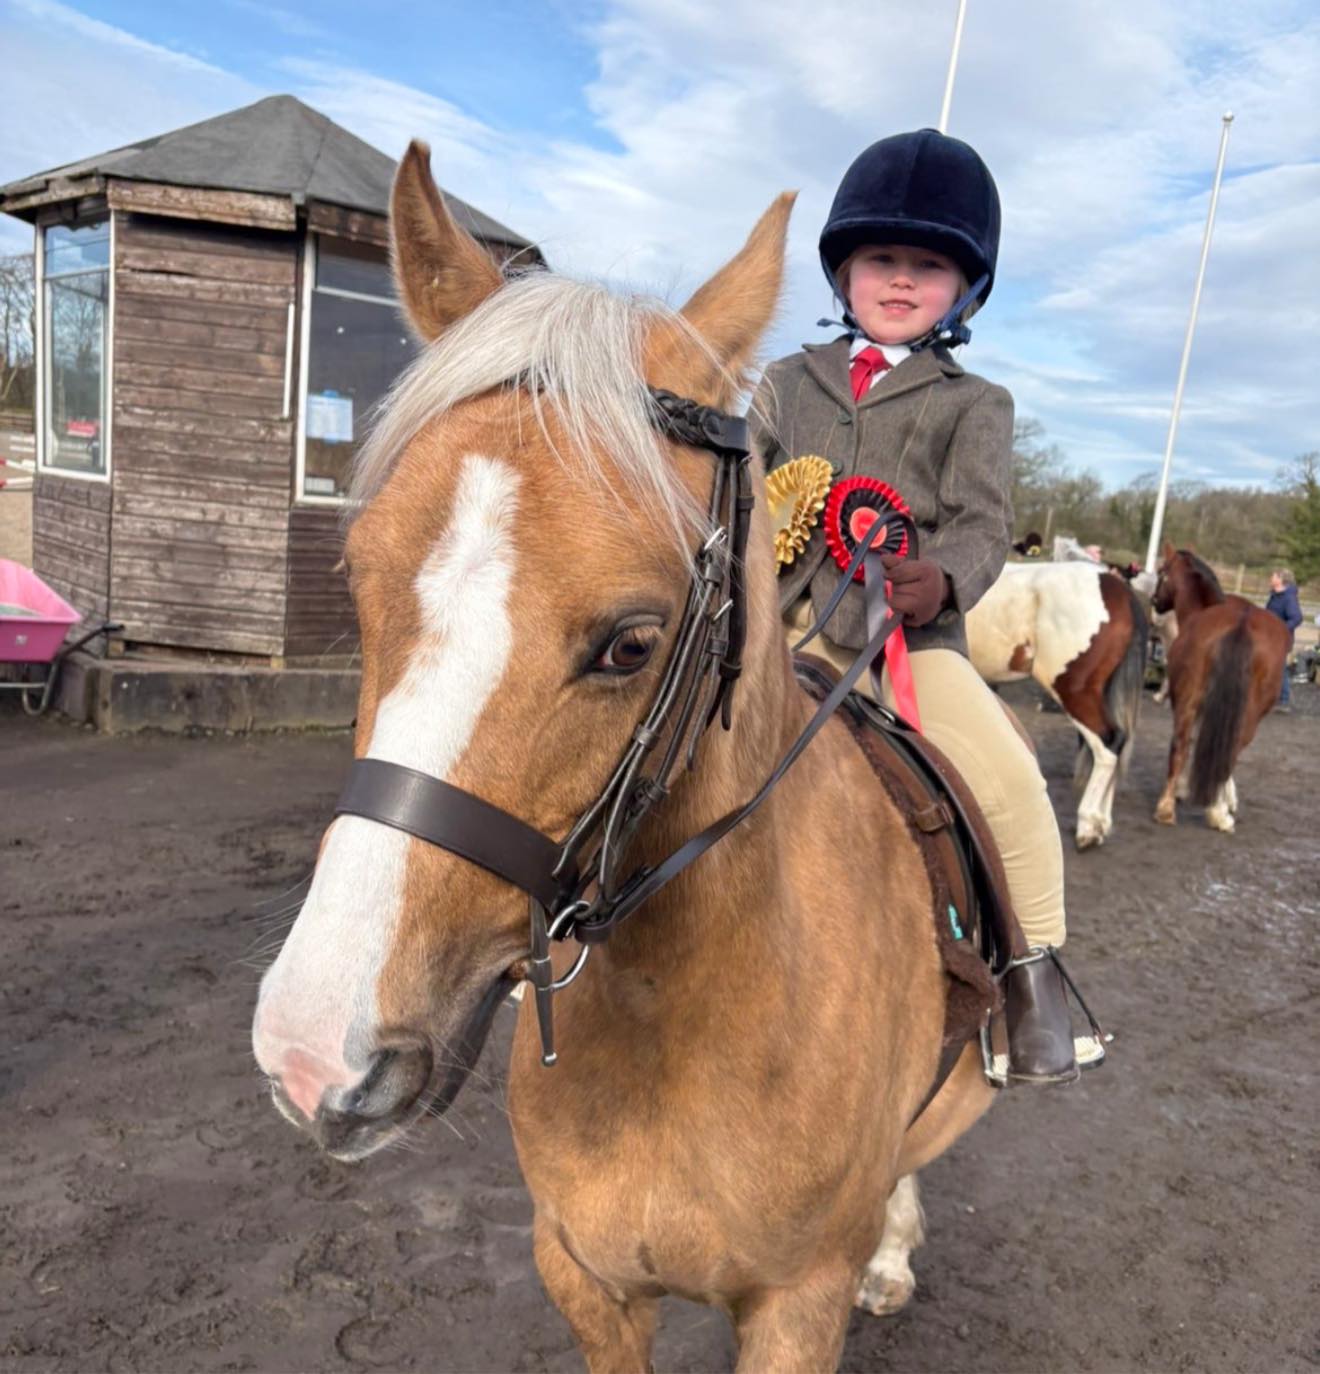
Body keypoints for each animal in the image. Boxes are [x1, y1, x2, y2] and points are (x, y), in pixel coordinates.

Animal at [251, 143, 1003, 1372]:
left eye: (634, 643)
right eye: (358, 579)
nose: (319, 1055)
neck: (679, 1019)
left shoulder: (798, 1308)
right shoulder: (584, 1275)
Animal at [1150, 545, 1288, 831]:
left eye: (1161, 571)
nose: (1155, 602)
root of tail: (1241, 623)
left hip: (1191, 700)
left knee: (1183, 743)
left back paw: (1170, 807)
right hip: (1246, 714)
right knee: (1226, 750)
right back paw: (1216, 812)